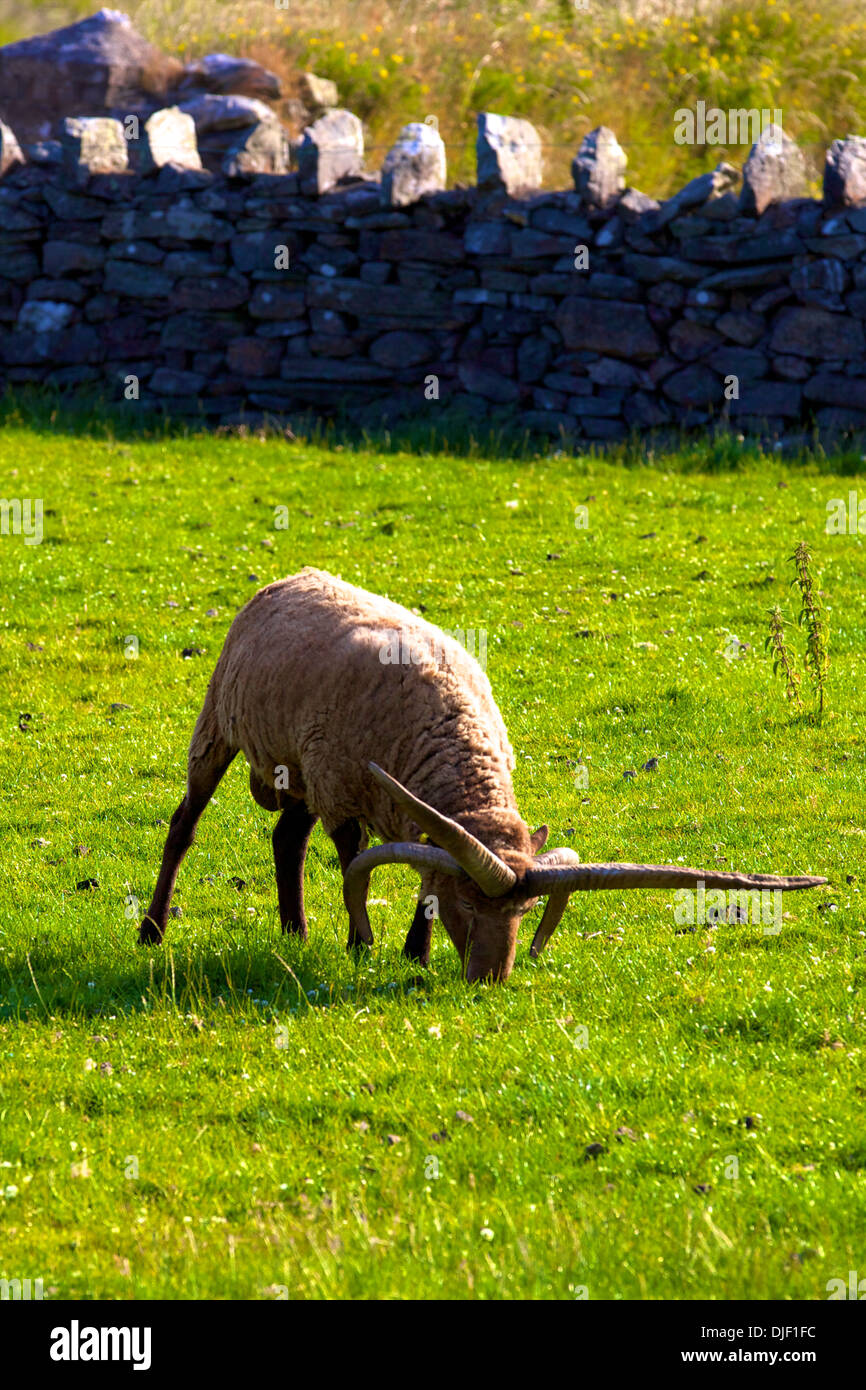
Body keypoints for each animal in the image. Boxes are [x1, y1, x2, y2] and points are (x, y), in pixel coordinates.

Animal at [139, 564, 828, 978]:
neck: (453, 741)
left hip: (297, 769)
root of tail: (295, 575)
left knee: (286, 839)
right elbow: (356, 862)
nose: (492, 980)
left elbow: (422, 875)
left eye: (526, 913)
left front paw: (414, 957)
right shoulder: (345, 791)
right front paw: (363, 947)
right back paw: (152, 930)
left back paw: (296, 933)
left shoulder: (412, 813)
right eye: (470, 909)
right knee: (184, 825)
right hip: (221, 726)